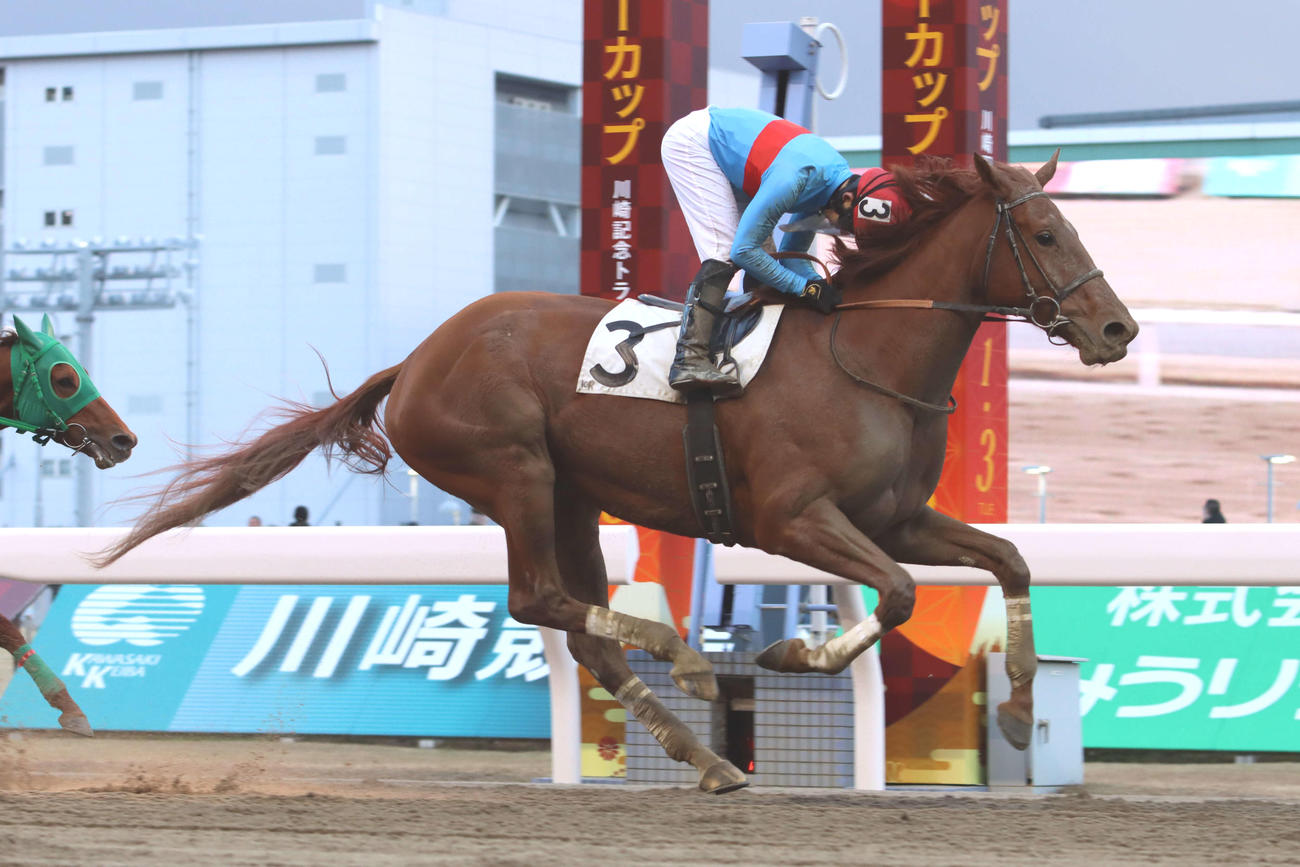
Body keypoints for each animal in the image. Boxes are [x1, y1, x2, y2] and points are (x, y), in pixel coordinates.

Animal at [99, 153, 1137, 792]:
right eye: (1048, 233)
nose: (1118, 327)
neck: (866, 355)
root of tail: (416, 360)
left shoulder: (895, 516)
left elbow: (1007, 560)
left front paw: (1018, 711)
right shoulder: (793, 518)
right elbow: (899, 594)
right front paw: (786, 656)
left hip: (572, 495)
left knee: (579, 623)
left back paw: (704, 754)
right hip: (514, 471)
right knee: (539, 600)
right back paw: (689, 660)